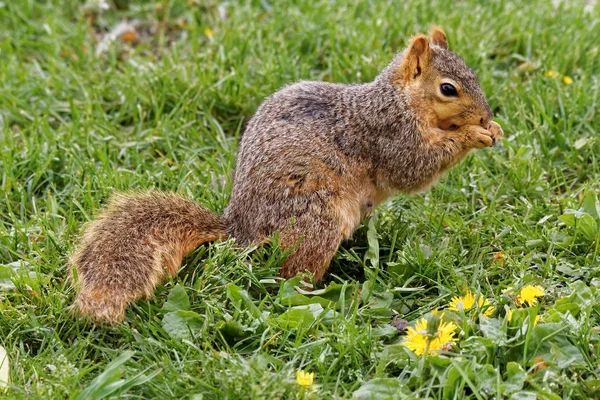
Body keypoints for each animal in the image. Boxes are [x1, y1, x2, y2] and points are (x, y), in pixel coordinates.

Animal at [69, 26, 502, 324]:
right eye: (448, 89)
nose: (486, 116)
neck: (400, 100)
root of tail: (240, 227)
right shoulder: (390, 135)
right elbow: (415, 168)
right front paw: (472, 135)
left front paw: (491, 129)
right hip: (315, 217)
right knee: (290, 277)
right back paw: (333, 295)